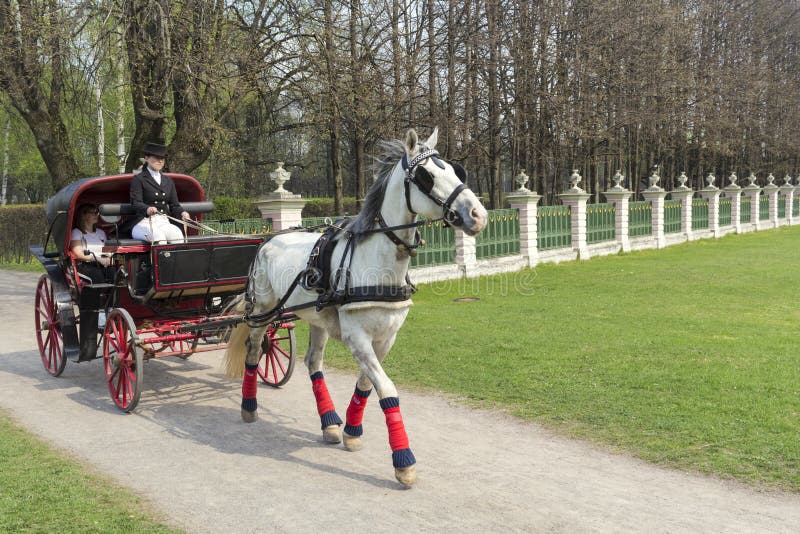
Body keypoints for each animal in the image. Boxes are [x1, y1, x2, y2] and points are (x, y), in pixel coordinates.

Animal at [223, 127, 488, 488]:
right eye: (427, 176)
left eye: (456, 171)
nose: (478, 215)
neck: (376, 262)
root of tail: (269, 238)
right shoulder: (357, 337)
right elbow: (387, 389)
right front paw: (403, 461)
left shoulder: (386, 337)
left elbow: (366, 384)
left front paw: (351, 431)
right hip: (262, 311)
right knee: (254, 352)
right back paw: (249, 407)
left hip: (317, 319)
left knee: (313, 363)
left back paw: (329, 423)